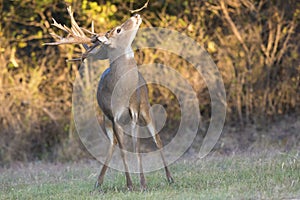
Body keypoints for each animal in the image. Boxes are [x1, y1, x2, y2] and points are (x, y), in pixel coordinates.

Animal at [44, 6, 173, 191]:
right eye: (118, 29)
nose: (136, 15)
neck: (121, 92)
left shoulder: (134, 111)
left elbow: (137, 147)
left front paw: (142, 183)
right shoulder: (113, 116)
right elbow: (123, 150)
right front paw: (130, 185)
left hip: (145, 107)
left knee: (158, 140)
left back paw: (170, 177)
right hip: (106, 120)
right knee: (114, 144)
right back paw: (98, 182)